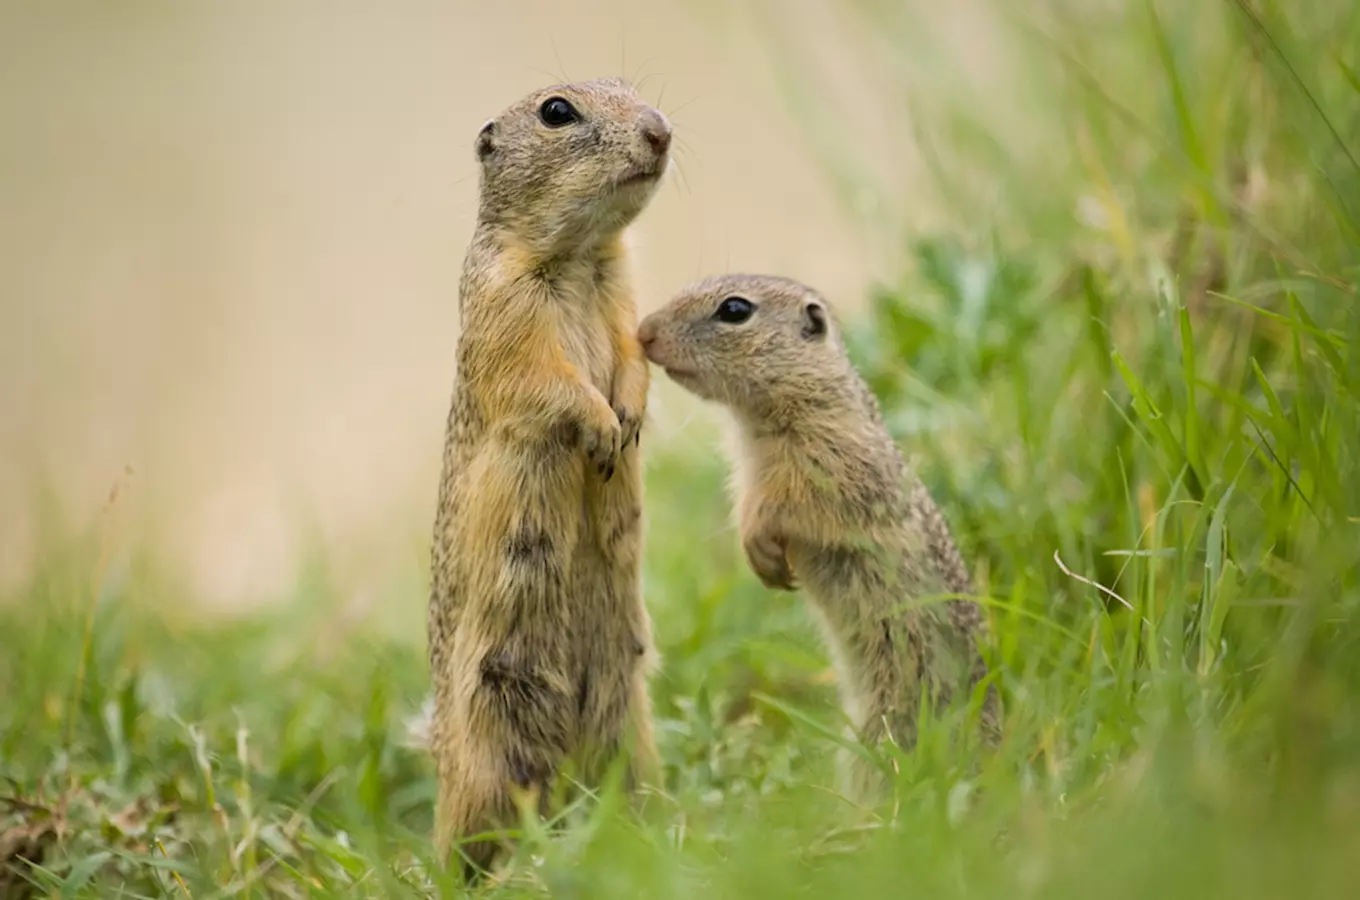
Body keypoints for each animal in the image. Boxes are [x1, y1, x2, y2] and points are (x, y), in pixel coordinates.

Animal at [429, 79, 669, 880]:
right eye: (556, 112)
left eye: (633, 89)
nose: (661, 131)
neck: (580, 255)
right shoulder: (505, 310)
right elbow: (544, 381)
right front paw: (600, 429)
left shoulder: (624, 294)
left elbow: (632, 354)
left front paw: (627, 419)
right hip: (483, 750)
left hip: (630, 723)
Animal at [633, 273, 1000, 799]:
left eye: (735, 310)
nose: (643, 332)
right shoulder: (749, 476)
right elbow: (746, 505)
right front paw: (761, 561)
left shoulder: (835, 465)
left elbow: (792, 507)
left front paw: (761, 545)